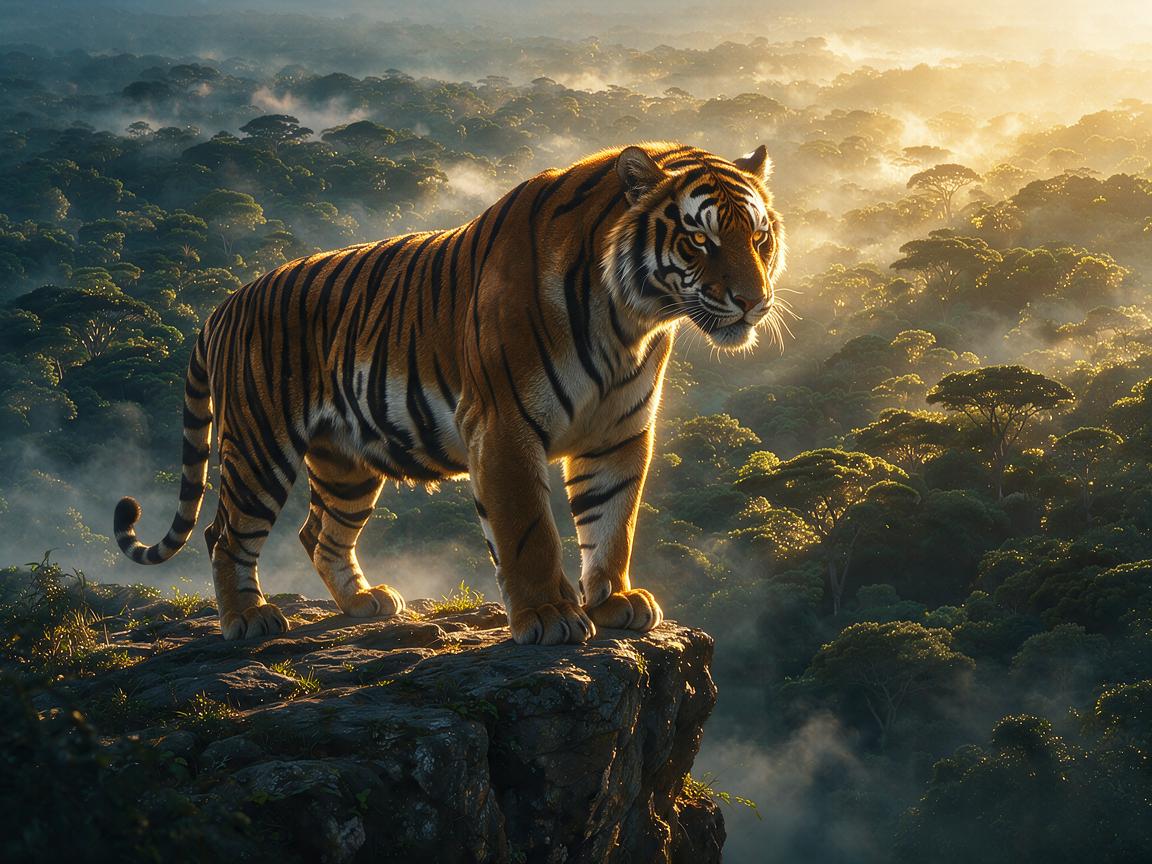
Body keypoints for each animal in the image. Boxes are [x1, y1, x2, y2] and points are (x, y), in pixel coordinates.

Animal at [113, 142, 786, 645]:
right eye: (699, 240)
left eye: (759, 238)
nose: (753, 302)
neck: (630, 320)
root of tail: (224, 304)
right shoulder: (504, 424)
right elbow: (528, 531)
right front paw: (549, 617)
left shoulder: (618, 432)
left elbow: (611, 522)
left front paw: (615, 600)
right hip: (259, 446)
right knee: (225, 533)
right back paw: (247, 618)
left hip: (346, 462)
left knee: (318, 533)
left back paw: (364, 602)